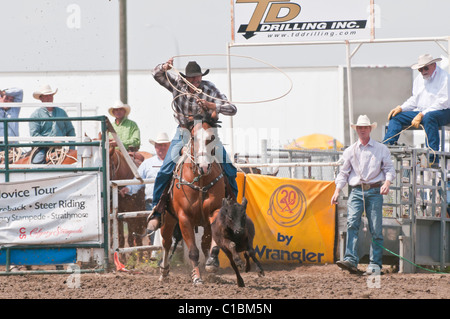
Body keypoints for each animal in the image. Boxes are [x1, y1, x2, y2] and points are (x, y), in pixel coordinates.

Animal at [160, 117, 227, 284]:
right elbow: (193, 251)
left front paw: (212, 263)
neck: (200, 181)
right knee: (166, 242)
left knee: (204, 243)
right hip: (168, 218)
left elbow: (212, 244)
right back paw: (164, 272)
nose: (204, 166)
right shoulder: (184, 218)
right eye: (193, 138)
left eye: (212, 137)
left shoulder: (215, 211)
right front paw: (196, 277)